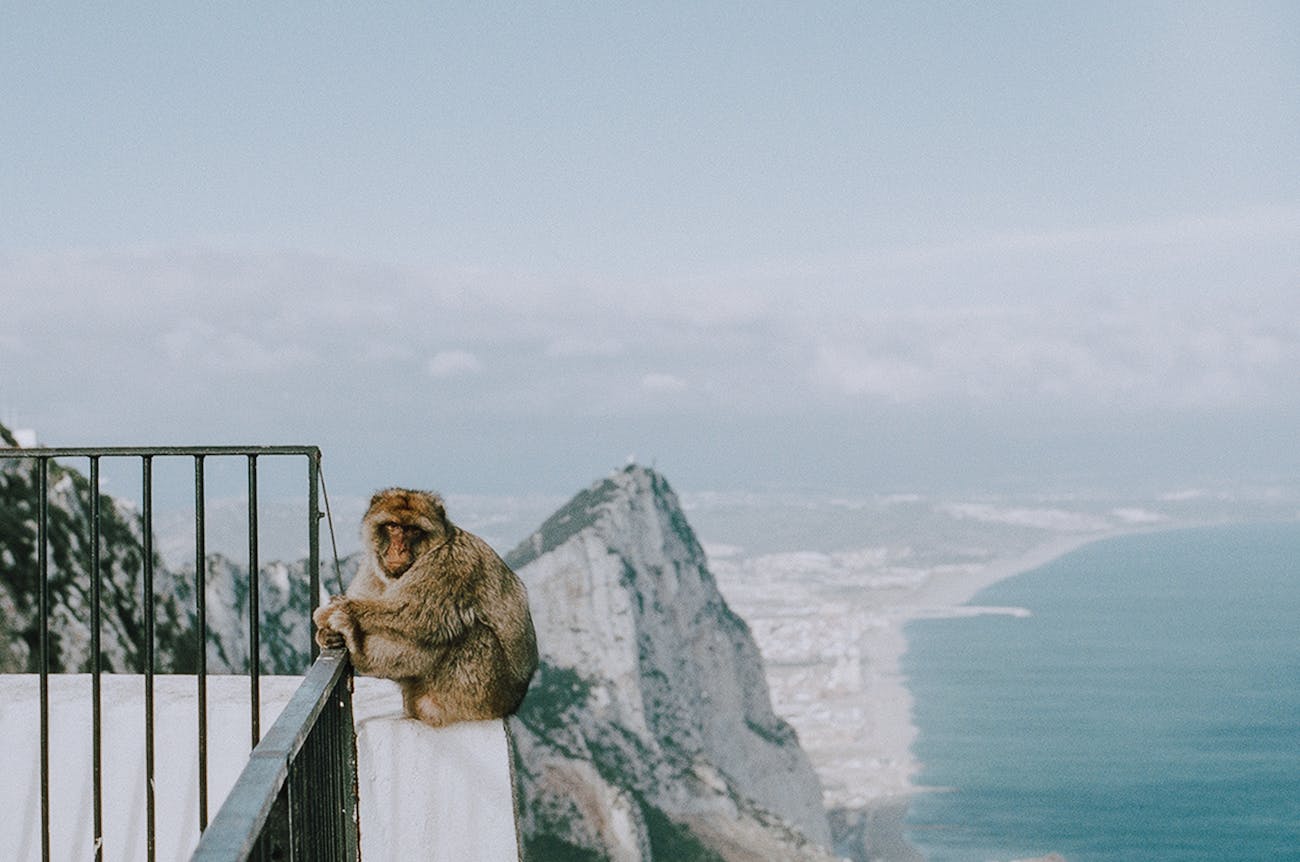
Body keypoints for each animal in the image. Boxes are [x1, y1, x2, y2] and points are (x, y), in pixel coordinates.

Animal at [314, 488, 538, 722]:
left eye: (413, 530)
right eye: (393, 526)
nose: (399, 548)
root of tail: (512, 705)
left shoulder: (449, 563)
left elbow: (417, 613)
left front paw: (332, 611)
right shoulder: (371, 567)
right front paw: (325, 635)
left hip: (480, 694)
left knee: (457, 630)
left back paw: (360, 652)